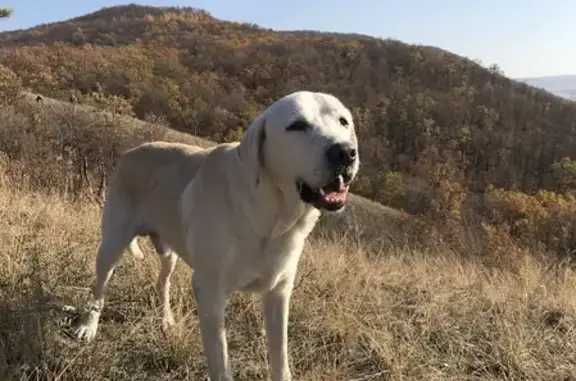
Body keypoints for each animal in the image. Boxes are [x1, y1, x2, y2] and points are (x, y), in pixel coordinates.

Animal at [72, 90, 360, 378]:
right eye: (297, 125)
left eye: (343, 122)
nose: (346, 152)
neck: (269, 219)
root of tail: (130, 151)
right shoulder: (210, 293)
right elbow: (221, 364)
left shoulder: (279, 293)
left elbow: (281, 359)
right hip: (111, 245)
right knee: (99, 289)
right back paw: (88, 326)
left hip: (168, 253)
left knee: (162, 282)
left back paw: (166, 320)